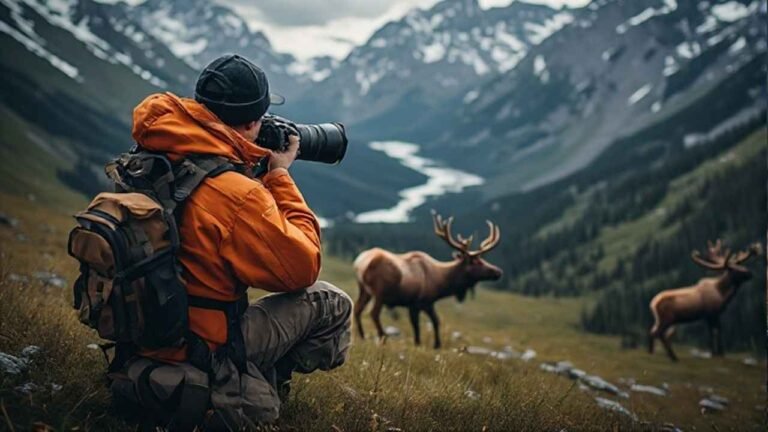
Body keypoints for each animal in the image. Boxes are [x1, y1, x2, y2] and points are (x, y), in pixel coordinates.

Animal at [353, 212, 503, 349]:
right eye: (476, 262)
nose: (498, 271)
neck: (440, 283)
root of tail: (361, 262)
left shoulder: (423, 303)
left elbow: (434, 321)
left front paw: (435, 344)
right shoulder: (419, 302)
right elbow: (422, 324)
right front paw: (422, 343)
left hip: (364, 289)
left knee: (357, 308)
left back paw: (362, 336)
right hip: (380, 292)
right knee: (373, 313)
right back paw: (382, 336)